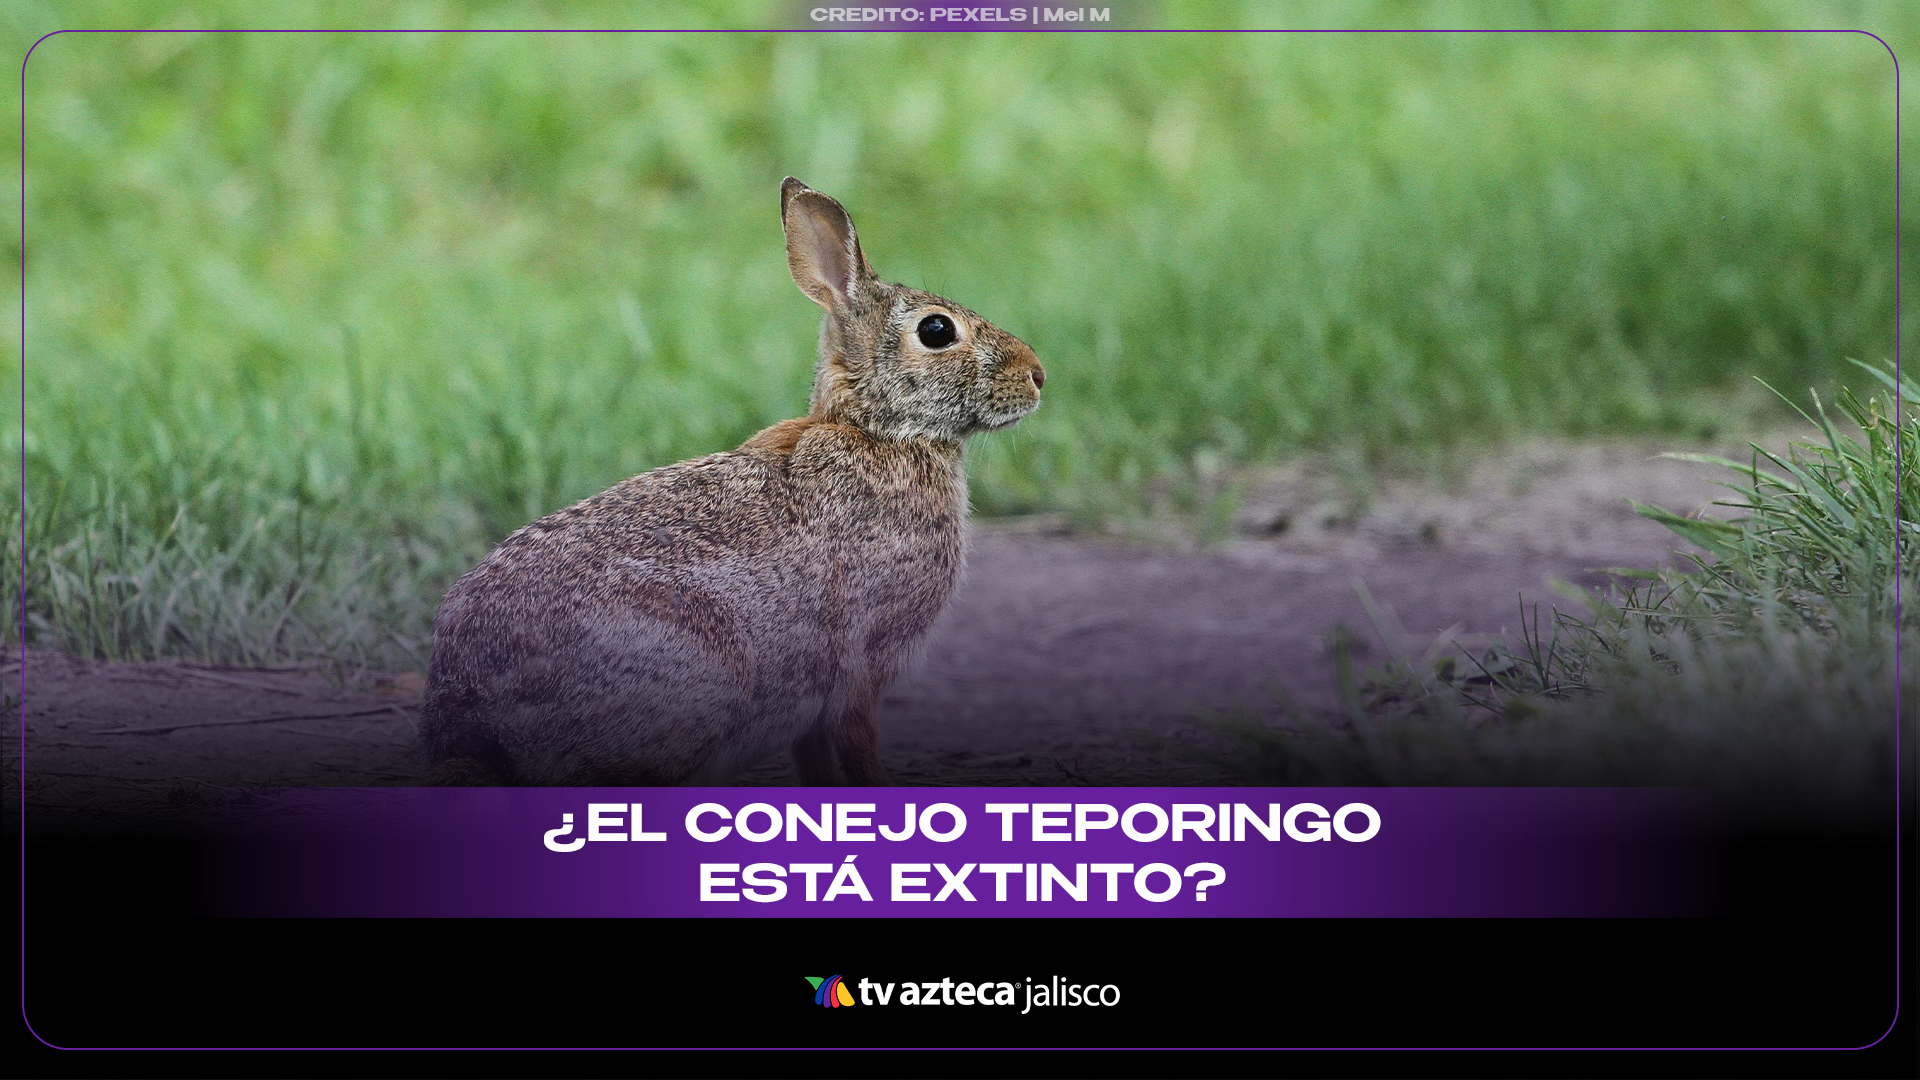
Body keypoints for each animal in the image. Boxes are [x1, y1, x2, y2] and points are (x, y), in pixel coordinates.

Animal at [418, 177, 1046, 786]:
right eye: (937, 331)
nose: (1038, 374)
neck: (879, 430)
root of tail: (467, 711)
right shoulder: (859, 659)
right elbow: (856, 745)